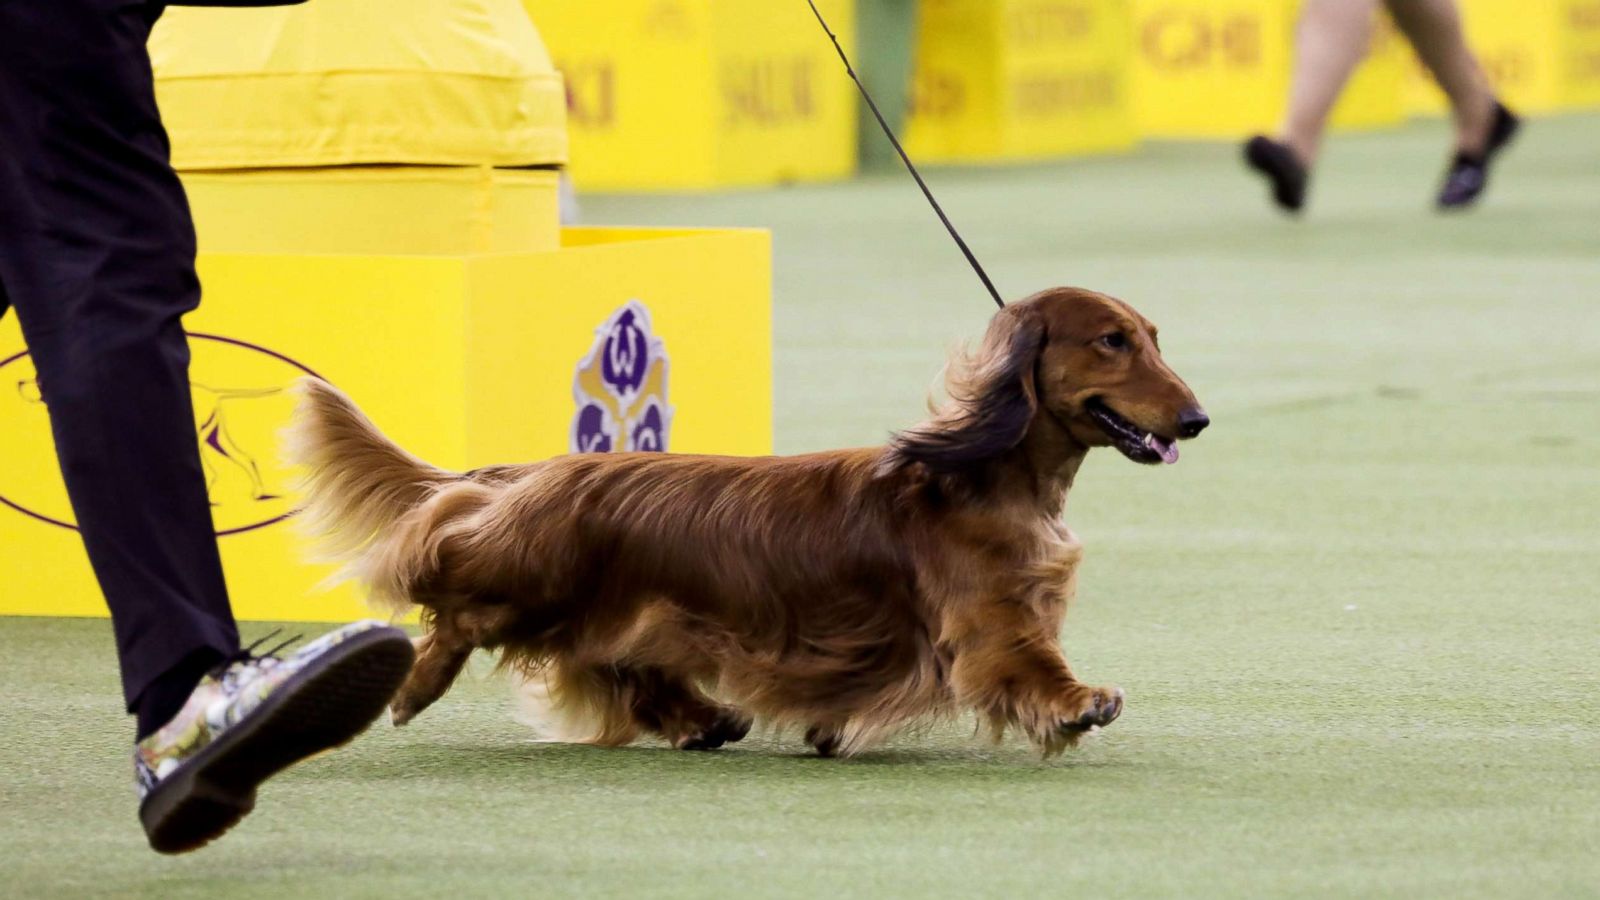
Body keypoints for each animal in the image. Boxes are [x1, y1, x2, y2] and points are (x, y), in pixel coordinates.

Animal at [288, 283, 1203, 752]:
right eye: (1112, 341)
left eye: (1153, 336)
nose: (1196, 419)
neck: (986, 476)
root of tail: (542, 471)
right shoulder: (991, 621)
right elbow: (1031, 666)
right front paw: (1080, 701)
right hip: (534, 579)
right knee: (449, 593)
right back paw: (410, 686)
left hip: (620, 607)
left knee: (616, 664)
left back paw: (704, 720)